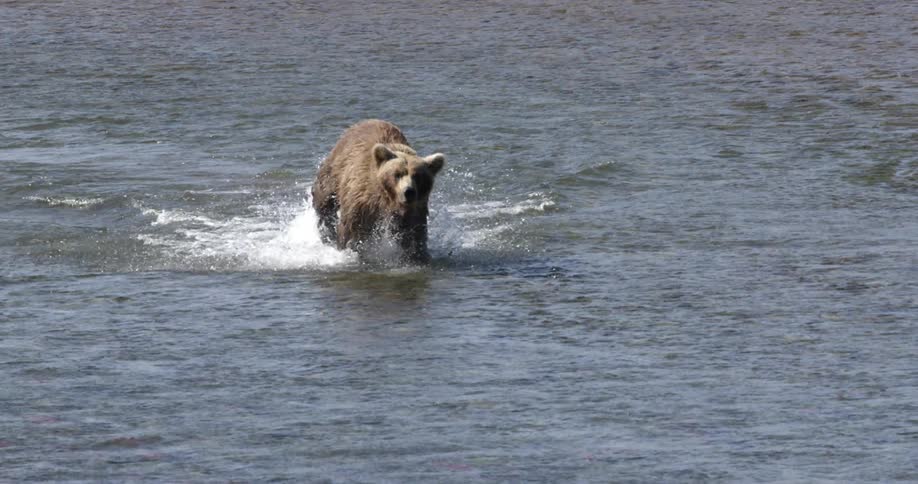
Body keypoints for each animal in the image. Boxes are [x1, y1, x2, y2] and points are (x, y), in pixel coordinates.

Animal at [311, 119, 445, 263]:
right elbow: (351, 227)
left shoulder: (414, 209)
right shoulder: (363, 198)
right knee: (324, 204)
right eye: (398, 174)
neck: (389, 198)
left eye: (417, 176)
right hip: (334, 173)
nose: (408, 191)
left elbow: (414, 232)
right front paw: (348, 250)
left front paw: (418, 255)